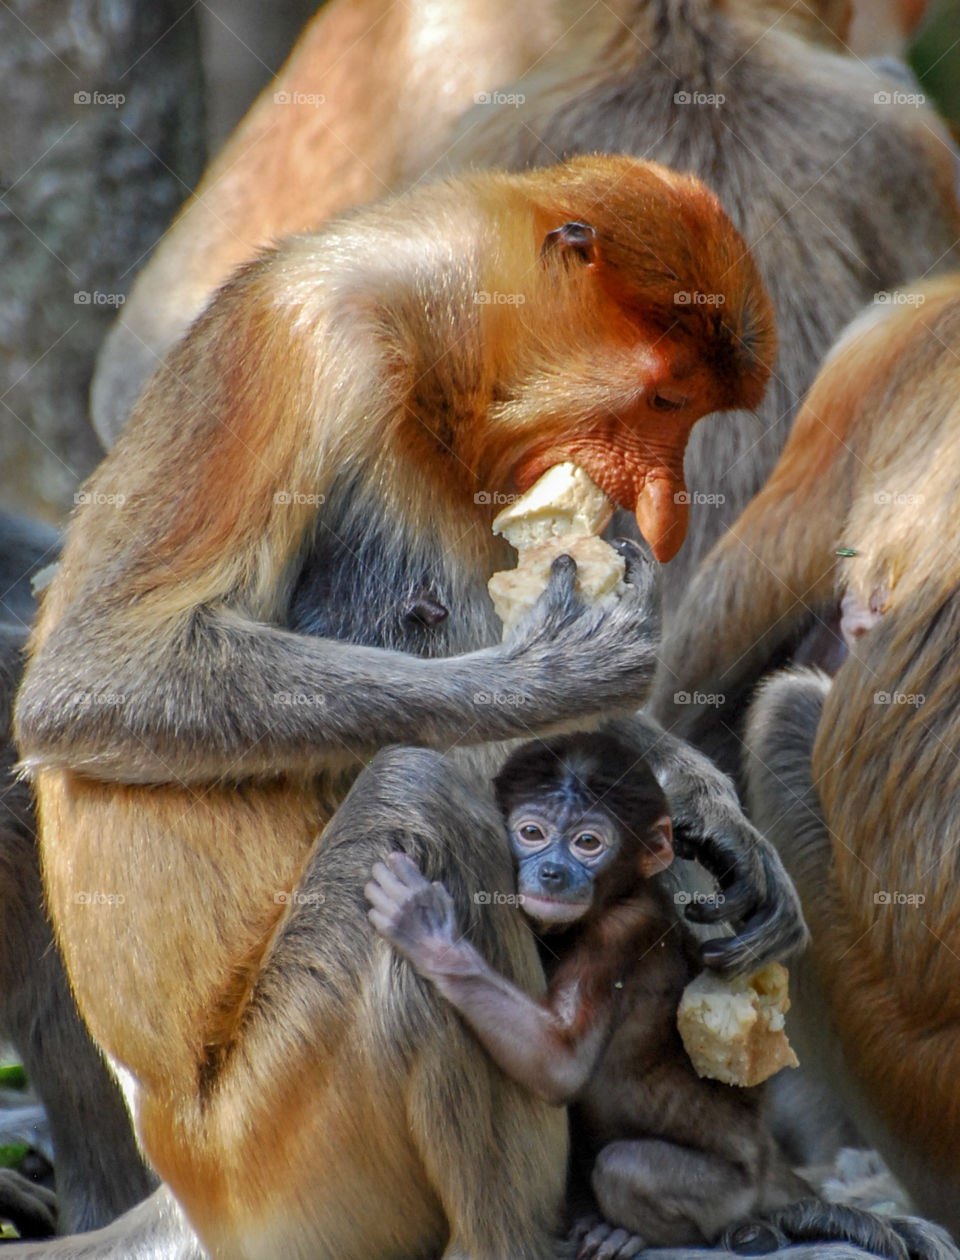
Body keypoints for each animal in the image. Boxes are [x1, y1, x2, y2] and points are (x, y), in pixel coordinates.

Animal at [13, 156, 807, 1259]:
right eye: (667, 396)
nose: (660, 518)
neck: (431, 344)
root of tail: (183, 1177)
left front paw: (717, 817)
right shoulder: (300, 349)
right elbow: (91, 678)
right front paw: (556, 671)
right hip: (284, 1149)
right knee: (419, 796)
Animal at [367, 731, 956, 1260]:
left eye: (588, 842)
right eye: (531, 832)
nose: (552, 872)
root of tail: (766, 1160)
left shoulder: (621, 931)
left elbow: (556, 1063)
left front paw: (431, 937)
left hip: (729, 1189)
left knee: (626, 1168)